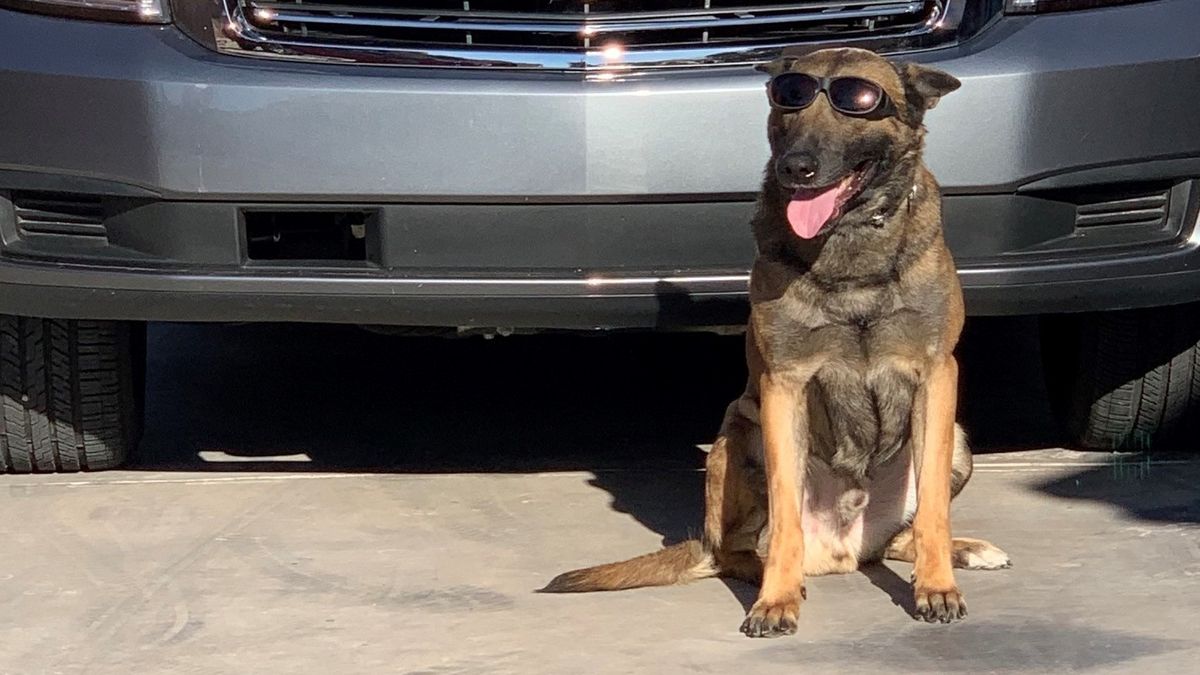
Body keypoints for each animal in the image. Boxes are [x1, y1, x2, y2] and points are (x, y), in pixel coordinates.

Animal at [547, 48, 1012, 634]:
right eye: (788, 99)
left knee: (901, 536)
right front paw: (777, 598)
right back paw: (766, 571)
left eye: (859, 101)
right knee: (733, 550)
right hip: (737, 439)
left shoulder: (935, 375)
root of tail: (844, 553)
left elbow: (931, 509)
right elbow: (787, 508)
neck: (848, 242)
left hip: (957, 439)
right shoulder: (783, 386)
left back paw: (963, 549)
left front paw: (936, 587)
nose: (796, 166)